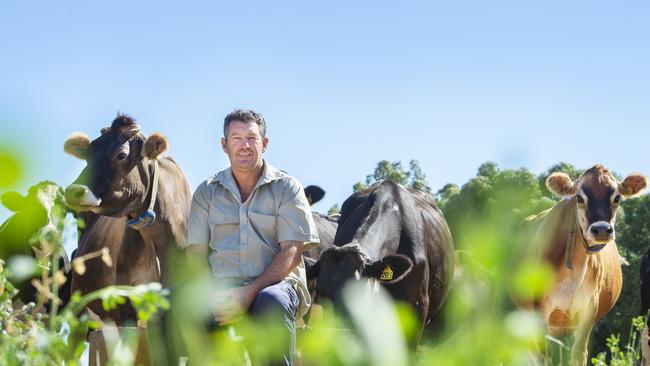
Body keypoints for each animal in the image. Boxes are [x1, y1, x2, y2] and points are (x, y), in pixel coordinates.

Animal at [516, 164, 644, 364]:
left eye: (617, 197)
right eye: (579, 197)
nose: (601, 229)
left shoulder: (589, 308)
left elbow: (578, 354)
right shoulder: (538, 307)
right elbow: (545, 355)